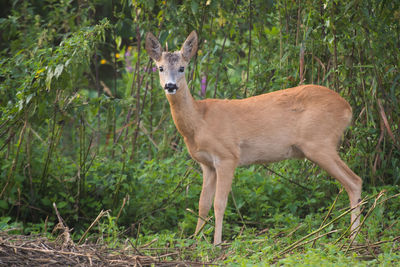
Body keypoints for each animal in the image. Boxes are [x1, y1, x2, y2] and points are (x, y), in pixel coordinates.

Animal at [145, 30, 362, 245]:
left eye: (182, 68)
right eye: (160, 68)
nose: (170, 86)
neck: (199, 122)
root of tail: (348, 108)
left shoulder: (227, 156)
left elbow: (219, 203)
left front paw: (216, 243)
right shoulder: (207, 164)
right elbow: (202, 204)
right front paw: (195, 240)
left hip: (320, 142)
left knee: (354, 181)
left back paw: (353, 238)